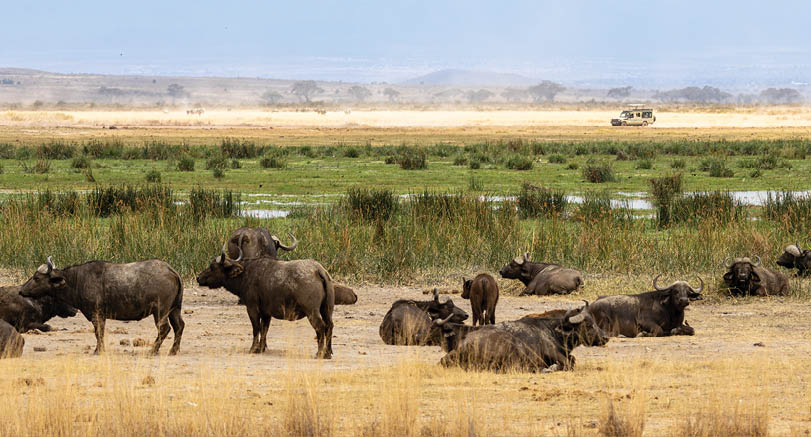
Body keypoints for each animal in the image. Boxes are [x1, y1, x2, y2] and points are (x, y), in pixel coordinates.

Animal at [20, 257, 184, 355]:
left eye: (36, 278)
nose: (21, 290)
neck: (77, 280)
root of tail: (171, 270)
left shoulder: (96, 314)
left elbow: (98, 332)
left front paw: (98, 351)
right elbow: (100, 333)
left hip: (160, 311)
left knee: (165, 328)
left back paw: (153, 350)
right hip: (174, 309)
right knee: (179, 326)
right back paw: (173, 350)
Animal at [196, 244, 335, 359]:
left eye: (212, 267)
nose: (198, 277)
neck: (245, 274)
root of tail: (318, 270)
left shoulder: (252, 307)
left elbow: (256, 328)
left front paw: (253, 349)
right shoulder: (266, 313)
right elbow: (264, 329)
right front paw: (261, 348)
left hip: (312, 311)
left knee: (320, 326)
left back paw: (319, 353)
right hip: (326, 310)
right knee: (329, 326)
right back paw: (327, 353)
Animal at [436, 302, 607, 372]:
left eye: (594, 321)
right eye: (588, 325)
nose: (605, 337)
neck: (552, 330)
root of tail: (463, 346)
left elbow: (572, 360)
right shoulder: (553, 352)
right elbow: (569, 363)